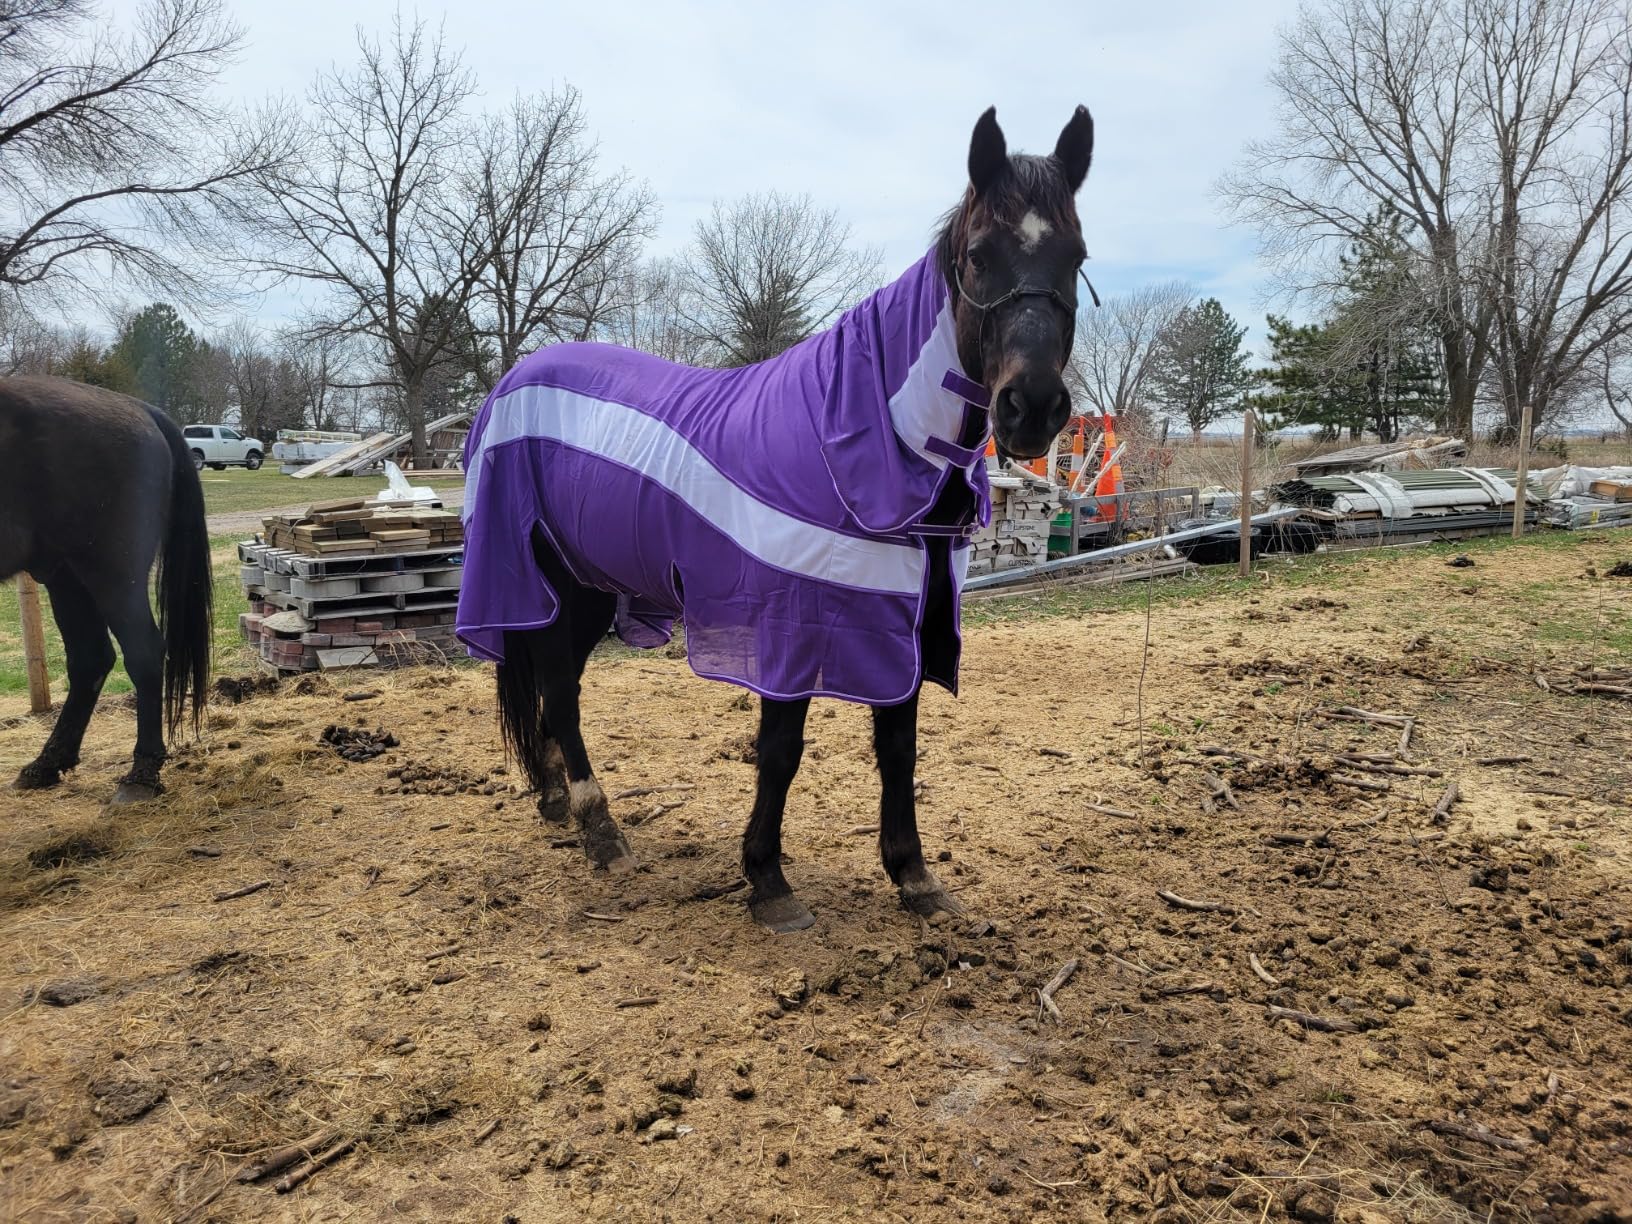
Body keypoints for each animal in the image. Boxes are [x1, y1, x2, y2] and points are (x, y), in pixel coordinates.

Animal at [1, 376, 213, 803]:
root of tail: (139, 408)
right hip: (66, 574)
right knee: (90, 659)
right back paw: (47, 763)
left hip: (111, 572)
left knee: (142, 652)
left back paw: (141, 774)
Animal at [457, 106, 1093, 931]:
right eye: (980, 256)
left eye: (1076, 255)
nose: (1033, 407)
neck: (859, 439)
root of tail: (515, 380)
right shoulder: (791, 621)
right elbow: (782, 749)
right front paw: (768, 880)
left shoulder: (907, 616)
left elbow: (899, 746)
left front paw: (915, 878)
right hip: (553, 585)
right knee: (560, 693)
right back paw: (602, 832)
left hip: (589, 590)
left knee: (549, 692)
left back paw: (557, 802)